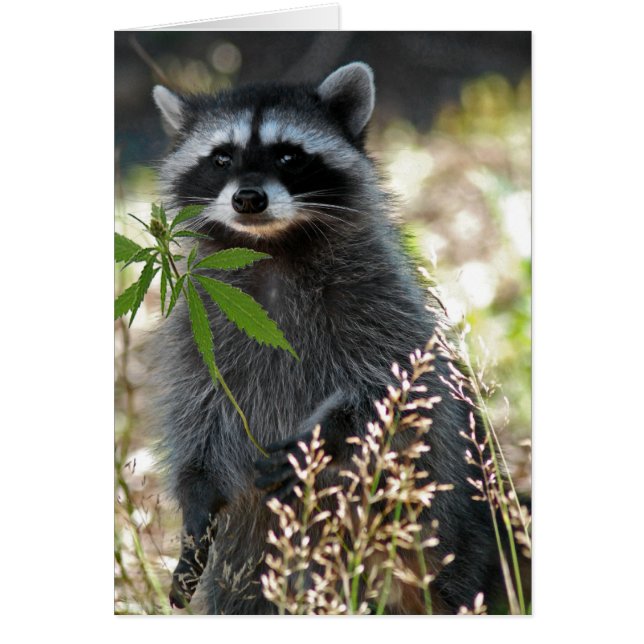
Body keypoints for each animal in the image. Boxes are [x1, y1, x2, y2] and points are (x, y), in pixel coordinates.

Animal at [149, 62, 498, 614]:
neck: (270, 249)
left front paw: (324, 434)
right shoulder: (198, 326)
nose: (248, 198)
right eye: (221, 157)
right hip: (249, 568)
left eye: (289, 155)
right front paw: (195, 500)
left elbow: (393, 390)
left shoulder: (381, 301)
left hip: (446, 531)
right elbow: (197, 417)